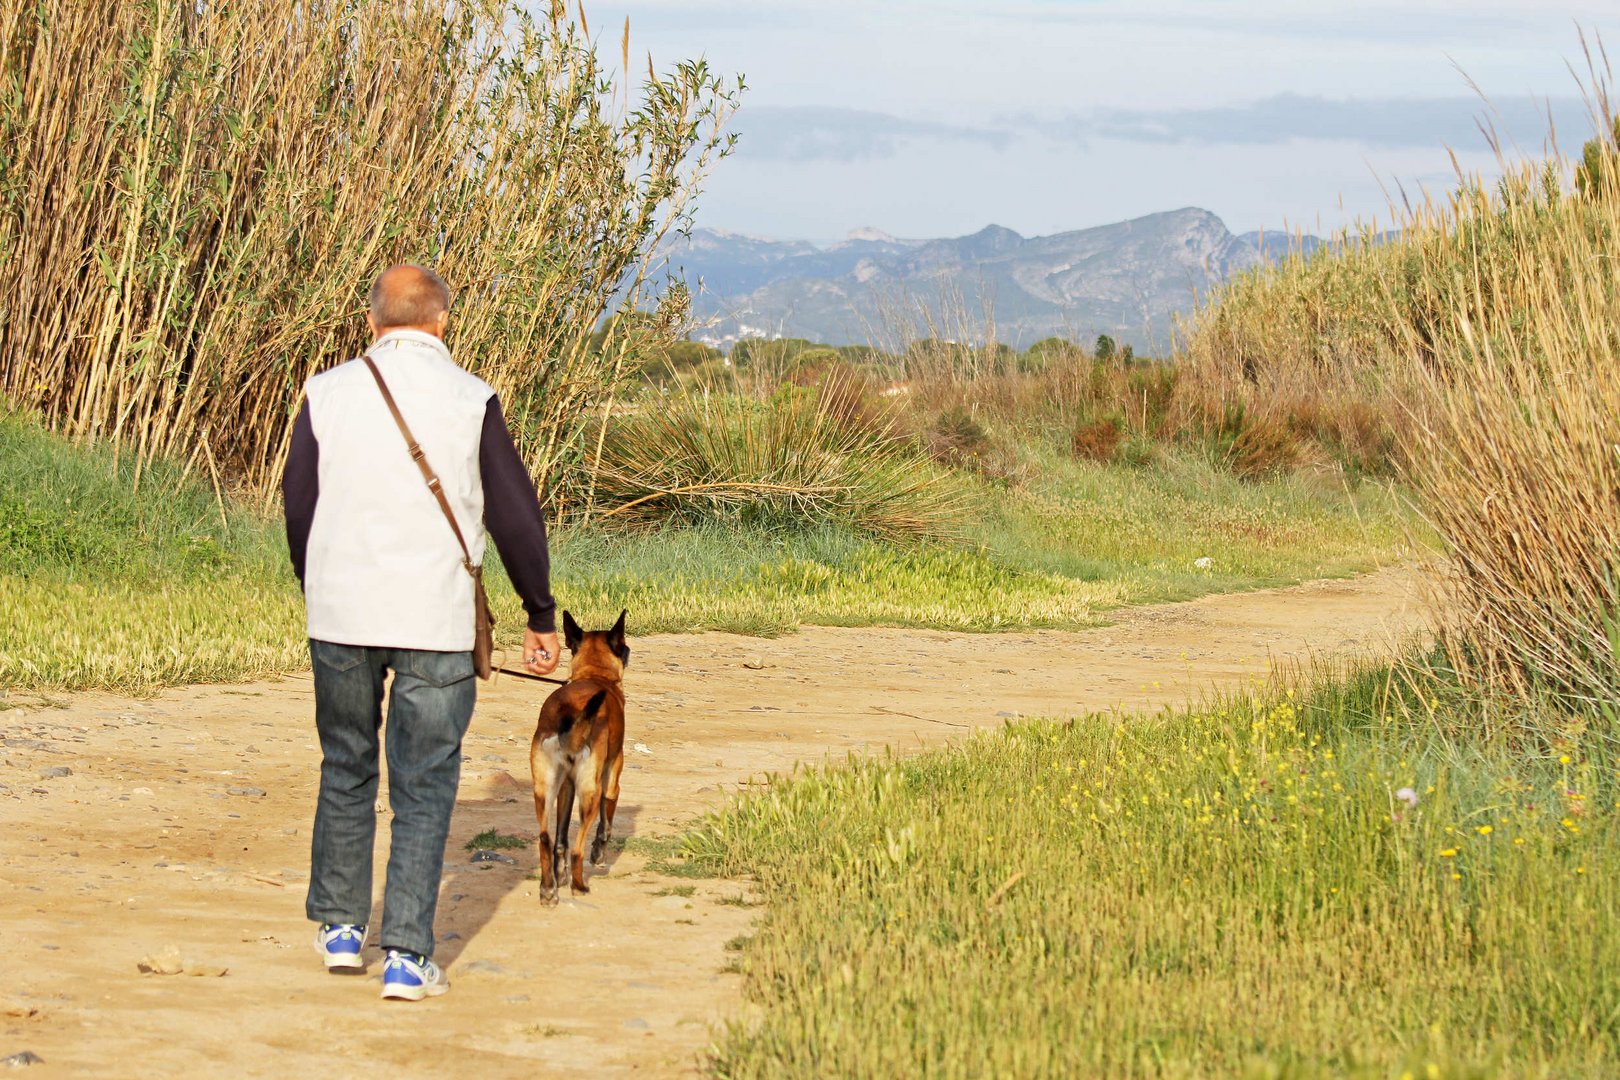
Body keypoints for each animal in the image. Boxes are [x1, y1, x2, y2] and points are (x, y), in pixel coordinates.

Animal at [534, 608, 628, 906]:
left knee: (545, 839)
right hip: (590, 791)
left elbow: (560, 838)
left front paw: (559, 875)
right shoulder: (611, 780)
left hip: (544, 790)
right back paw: (578, 885)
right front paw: (598, 853)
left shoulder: (566, 787)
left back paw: (549, 888)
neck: (595, 676)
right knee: (578, 848)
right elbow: (605, 825)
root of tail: (571, 713)